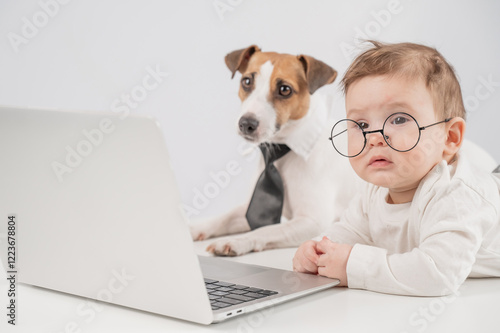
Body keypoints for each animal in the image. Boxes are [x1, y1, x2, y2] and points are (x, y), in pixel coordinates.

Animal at [190, 44, 360, 256]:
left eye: (285, 89)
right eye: (246, 81)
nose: (246, 123)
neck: (281, 152)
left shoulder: (313, 221)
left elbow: (266, 230)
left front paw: (237, 240)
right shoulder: (248, 208)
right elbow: (225, 217)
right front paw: (193, 227)